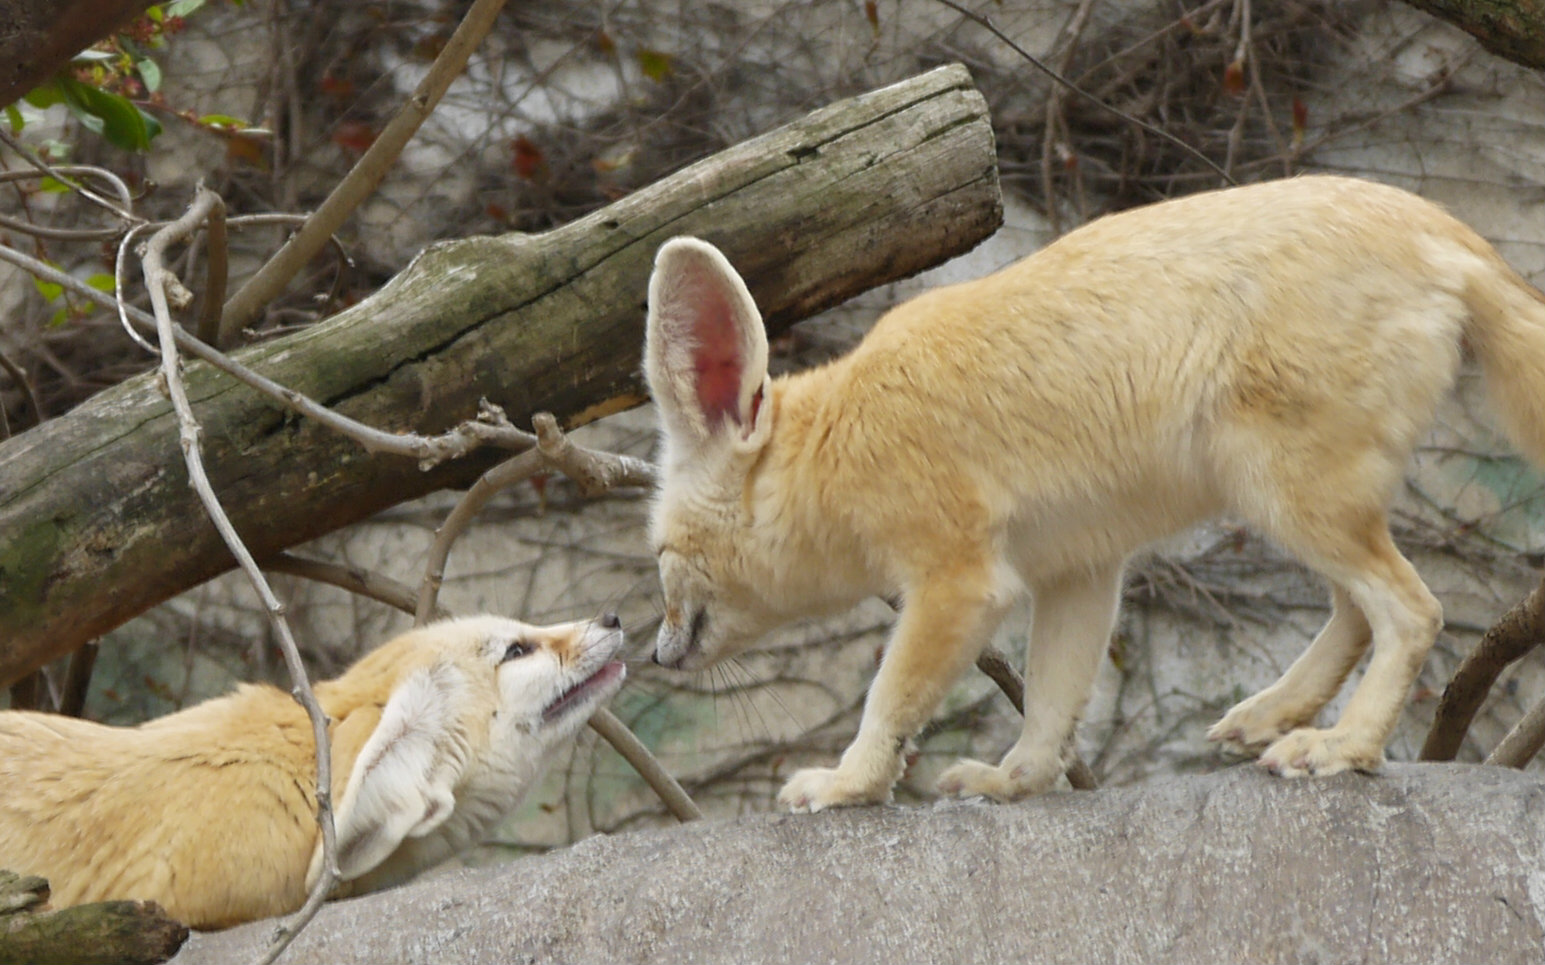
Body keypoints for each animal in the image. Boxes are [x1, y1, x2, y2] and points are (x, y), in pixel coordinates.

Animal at [642, 174, 1545, 813]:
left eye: (658, 553)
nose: (655, 653)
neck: (838, 440)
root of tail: (1436, 224)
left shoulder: (959, 582)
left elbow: (889, 700)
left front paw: (846, 784)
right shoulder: (1077, 570)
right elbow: (1052, 700)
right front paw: (1012, 780)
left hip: (1283, 491)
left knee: (1412, 608)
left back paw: (1341, 746)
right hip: (1299, 500)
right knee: (1360, 610)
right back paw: (1271, 716)